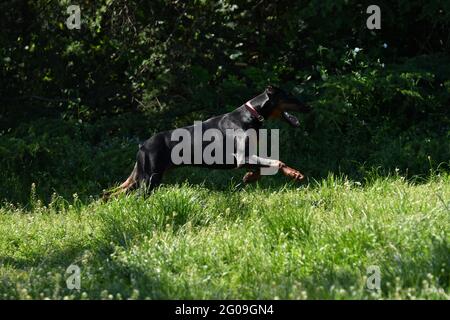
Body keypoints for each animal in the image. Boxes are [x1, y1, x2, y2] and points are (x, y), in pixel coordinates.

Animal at [112, 85, 310, 195]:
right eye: (289, 95)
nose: (308, 107)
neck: (251, 115)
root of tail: (143, 145)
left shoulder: (246, 158)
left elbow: (260, 169)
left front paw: (249, 177)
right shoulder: (242, 158)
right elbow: (277, 161)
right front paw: (295, 174)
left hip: (140, 176)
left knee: (115, 193)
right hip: (149, 178)